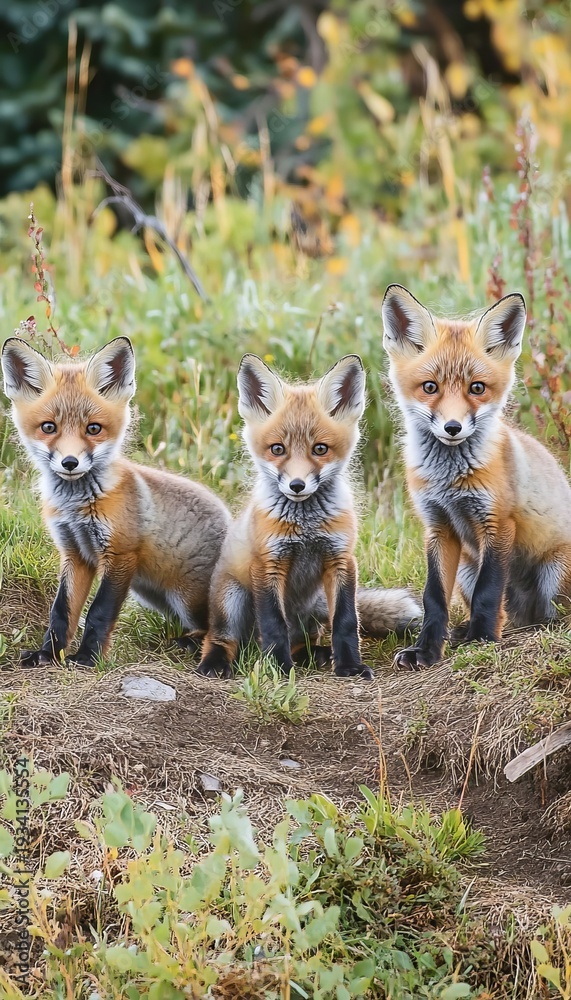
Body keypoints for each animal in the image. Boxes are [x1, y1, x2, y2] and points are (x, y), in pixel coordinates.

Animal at [1, 336, 230, 668]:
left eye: (93, 428)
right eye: (48, 427)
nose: (70, 463)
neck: (77, 506)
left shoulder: (120, 553)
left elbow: (99, 612)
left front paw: (87, 657)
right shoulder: (74, 553)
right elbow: (61, 612)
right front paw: (48, 654)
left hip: (186, 597)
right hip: (151, 593)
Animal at [197, 353, 421, 680]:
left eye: (320, 449)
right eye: (278, 449)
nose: (297, 485)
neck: (306, 529)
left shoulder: (341, 560)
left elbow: (346, 621)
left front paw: (350, 666)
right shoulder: (268, 564)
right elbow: (274, 624)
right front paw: (278, 670)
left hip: (314, 605)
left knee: (301, 640)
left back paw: (316, 655)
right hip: (231, 600)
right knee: (221, 638)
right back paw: (216, 662)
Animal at [382, 283, 571, 670]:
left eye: (477, 388)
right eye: (430, 387)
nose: (453, 428)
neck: (450, 481)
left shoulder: (497, 522)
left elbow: (489, 590)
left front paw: (482, 639)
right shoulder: (437, 526)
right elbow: (433, 597)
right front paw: (427, 649)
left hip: (554, 575)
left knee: (548, 616)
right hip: (467, 571)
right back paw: (465, 630)